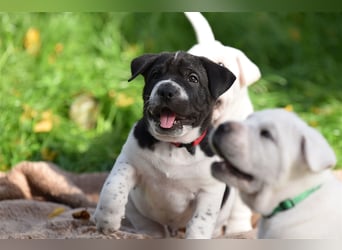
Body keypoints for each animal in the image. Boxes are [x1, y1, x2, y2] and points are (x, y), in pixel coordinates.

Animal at [93, 50, 243, 238]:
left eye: (193, 78)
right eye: (156, 75)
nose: (166, 90)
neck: (174, 145)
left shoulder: (209, 190)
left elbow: (200, 222)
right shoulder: (129, 161)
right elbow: (113, 187)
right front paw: (106, 219)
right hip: (139, 211)